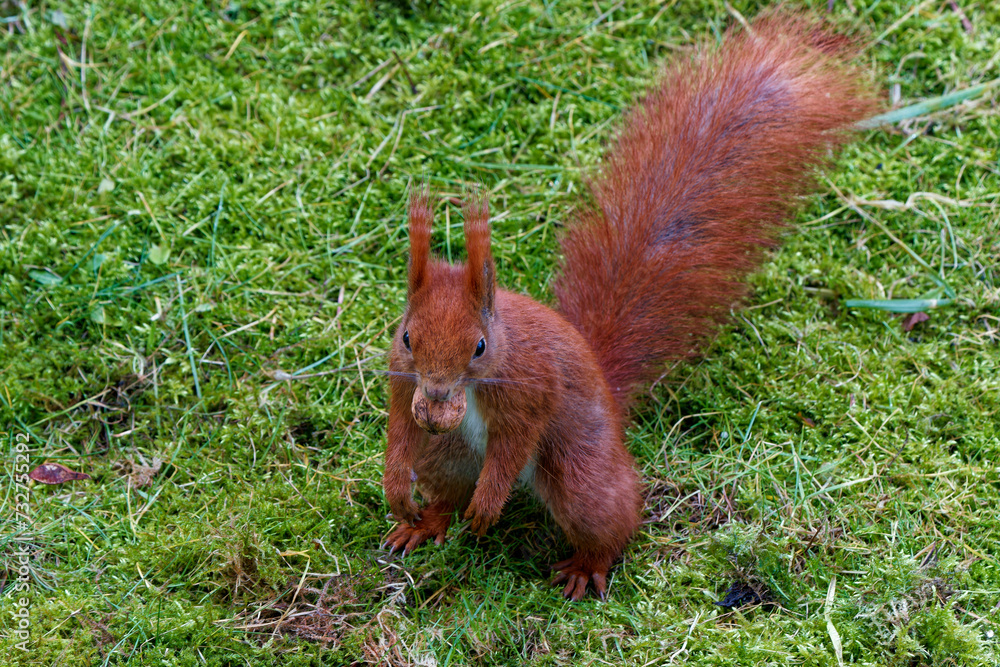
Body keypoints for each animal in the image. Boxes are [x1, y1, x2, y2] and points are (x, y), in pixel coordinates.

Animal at [380, 12, 879, 600]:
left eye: (479, 346)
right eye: (407, 336)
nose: (436, 393)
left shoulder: (533, 389)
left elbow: (512, 445)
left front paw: (488, 504)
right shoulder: (401, 379)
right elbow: (399, 426)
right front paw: (395, 487)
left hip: (579, 472)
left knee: (607, 516)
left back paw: (585, 564)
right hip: (449, 454)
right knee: (447, 490)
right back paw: (425, 521)